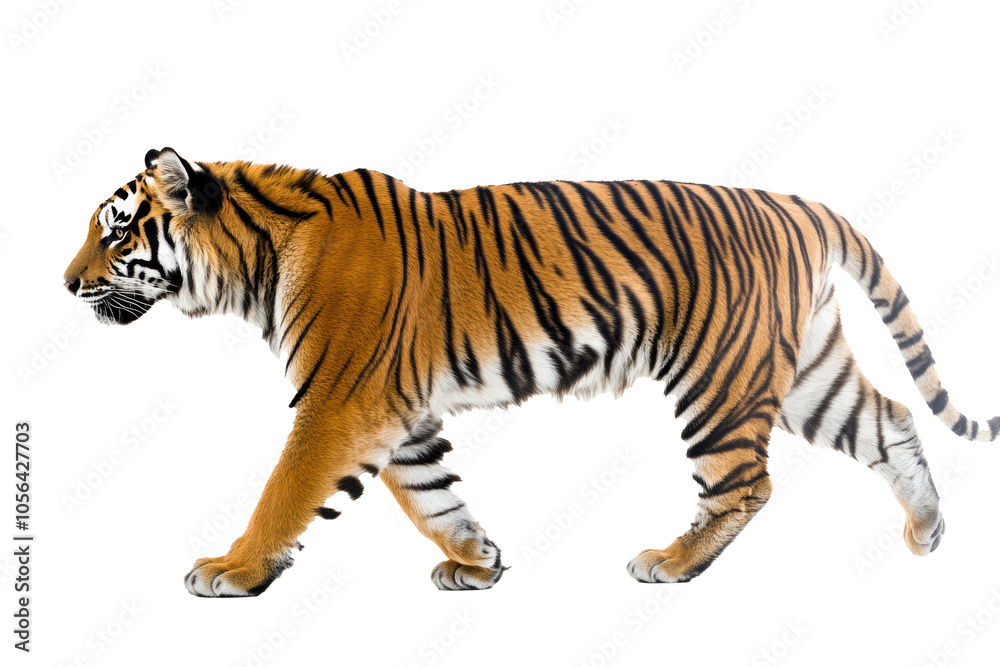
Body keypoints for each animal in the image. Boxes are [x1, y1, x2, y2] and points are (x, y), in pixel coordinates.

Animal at [63, 147, 997, 597]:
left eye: (117, 231)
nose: (66, 284)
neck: (254, 260)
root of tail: (797, 204)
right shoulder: (398, 413)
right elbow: (431, 494)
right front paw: (478, 560)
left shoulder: (338, 403)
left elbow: (285, 492)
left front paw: (232, 570)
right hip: (803, 368)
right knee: (890, 420)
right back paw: (928, 530)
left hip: (718, 378)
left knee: (746, 485)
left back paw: (673, 562)